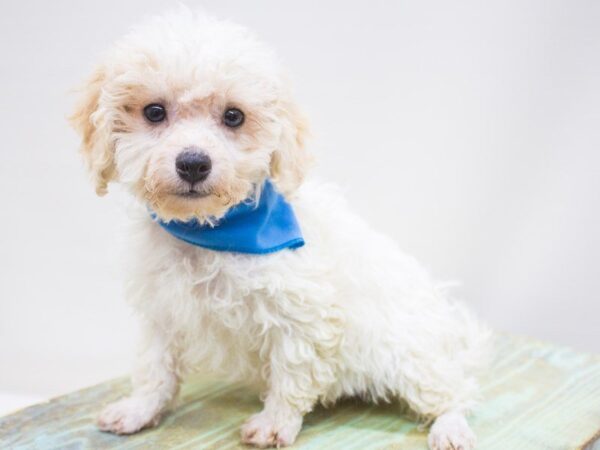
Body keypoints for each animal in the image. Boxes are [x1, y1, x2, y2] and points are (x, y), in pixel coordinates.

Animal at [72, 7, 490, 450]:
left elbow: (291, 374)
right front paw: (139, 409)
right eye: (154, 112)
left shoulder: (300, 313)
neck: (210, 233)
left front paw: (275, 422)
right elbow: (154, 367)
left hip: (409, 357)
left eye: (233, 116)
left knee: (456, 391)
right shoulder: (162, 310)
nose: (193, 163)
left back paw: (451, 426)